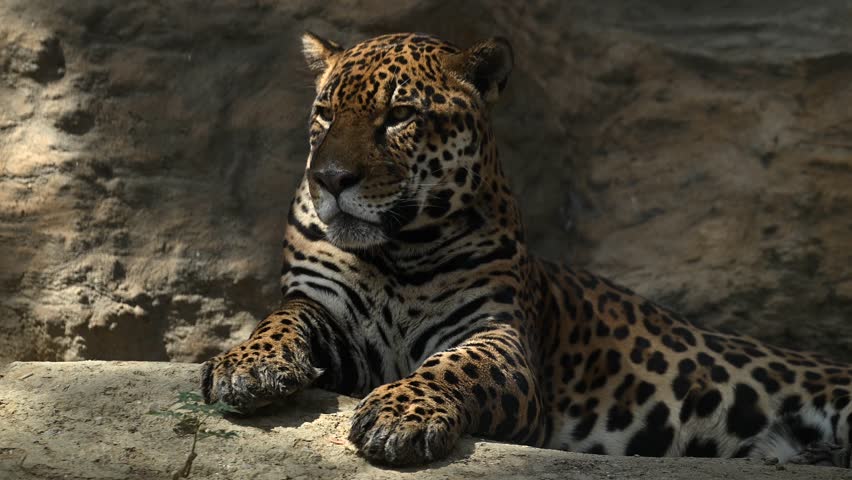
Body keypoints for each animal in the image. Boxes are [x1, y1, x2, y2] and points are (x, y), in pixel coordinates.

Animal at [201, 31, 852, 468]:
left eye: (400, 115)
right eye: (325, 112)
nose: (330, 179)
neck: (398, 252)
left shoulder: (500, 336)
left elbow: (454, 366)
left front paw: (399, 414)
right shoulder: (326, 311)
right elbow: (279, 318)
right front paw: (246, 366)